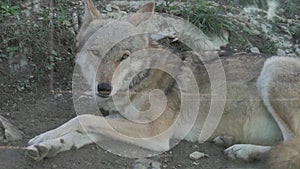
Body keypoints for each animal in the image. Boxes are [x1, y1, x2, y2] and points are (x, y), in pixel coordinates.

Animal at [25, 0, 300, 168]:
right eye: (96, 52)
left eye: (124, 56)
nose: (103, 88)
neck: (138, 82)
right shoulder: (120, 121)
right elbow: (85, 129)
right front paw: (49, 145)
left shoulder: (153, 133)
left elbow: (82, 119)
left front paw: (45, 135)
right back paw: (236, 146)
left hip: (273, 67)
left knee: (292, 145)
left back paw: (243, 150)